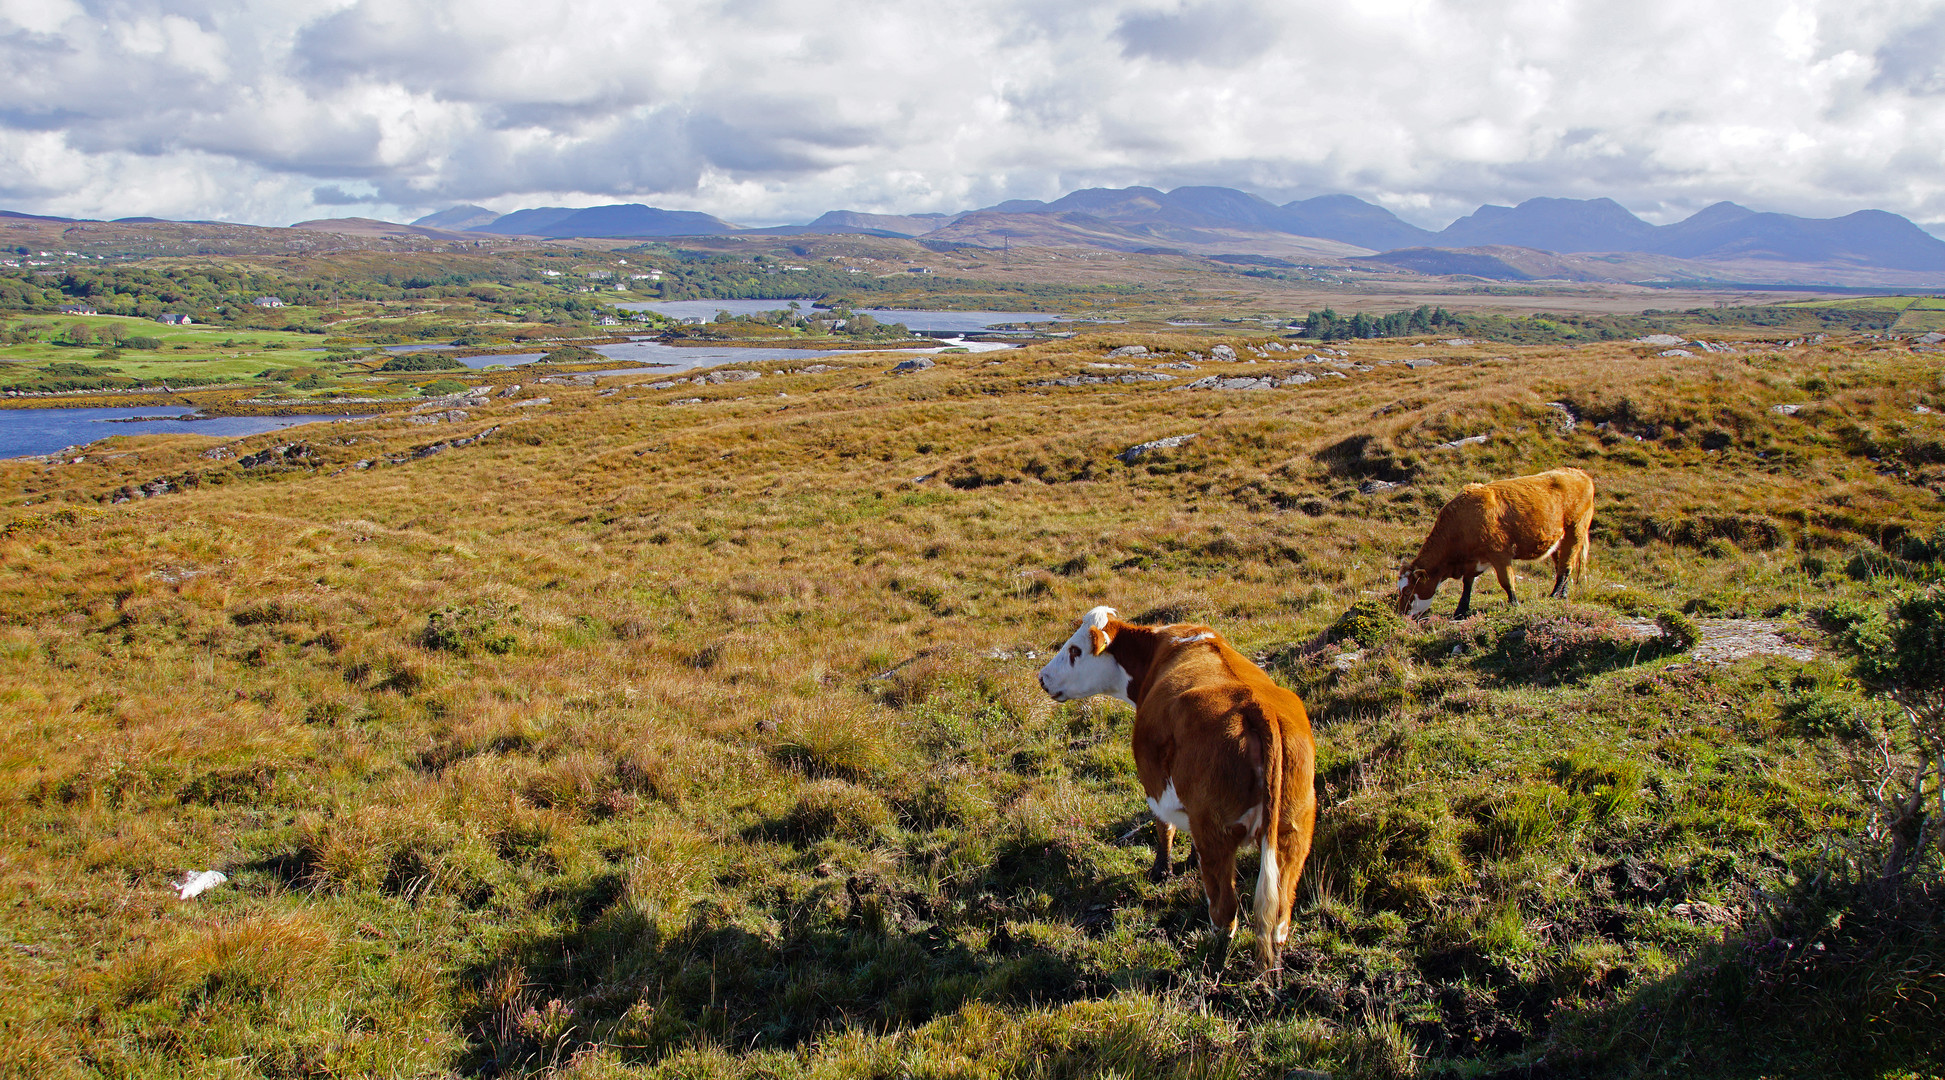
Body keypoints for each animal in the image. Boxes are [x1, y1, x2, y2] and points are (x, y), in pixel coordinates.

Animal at [1034, 607, 1322, 972]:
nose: (1043, 677)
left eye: (1075, 650)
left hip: (1217, 832)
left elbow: (1164, 828)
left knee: (1225, 909)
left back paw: (1211, 956)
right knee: (1280, 912)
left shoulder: (1154, 783)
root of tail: (1258, 709)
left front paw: (1162, 871)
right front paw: (1186, 861)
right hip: (1294, 834)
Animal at [1400, 467, 1594, 626]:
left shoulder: (1500, 553)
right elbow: (1467, 584)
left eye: (1408, 590)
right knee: (1561, 565)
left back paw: (1555, 595)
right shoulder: (1473, 560)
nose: (1401, 614)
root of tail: (1579, 473)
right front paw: (1460, 611)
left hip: (1576, 530)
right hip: (1557, 539)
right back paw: (1562, 594)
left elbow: (1506, 581)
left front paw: (1514, 604)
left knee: (1566, 565)